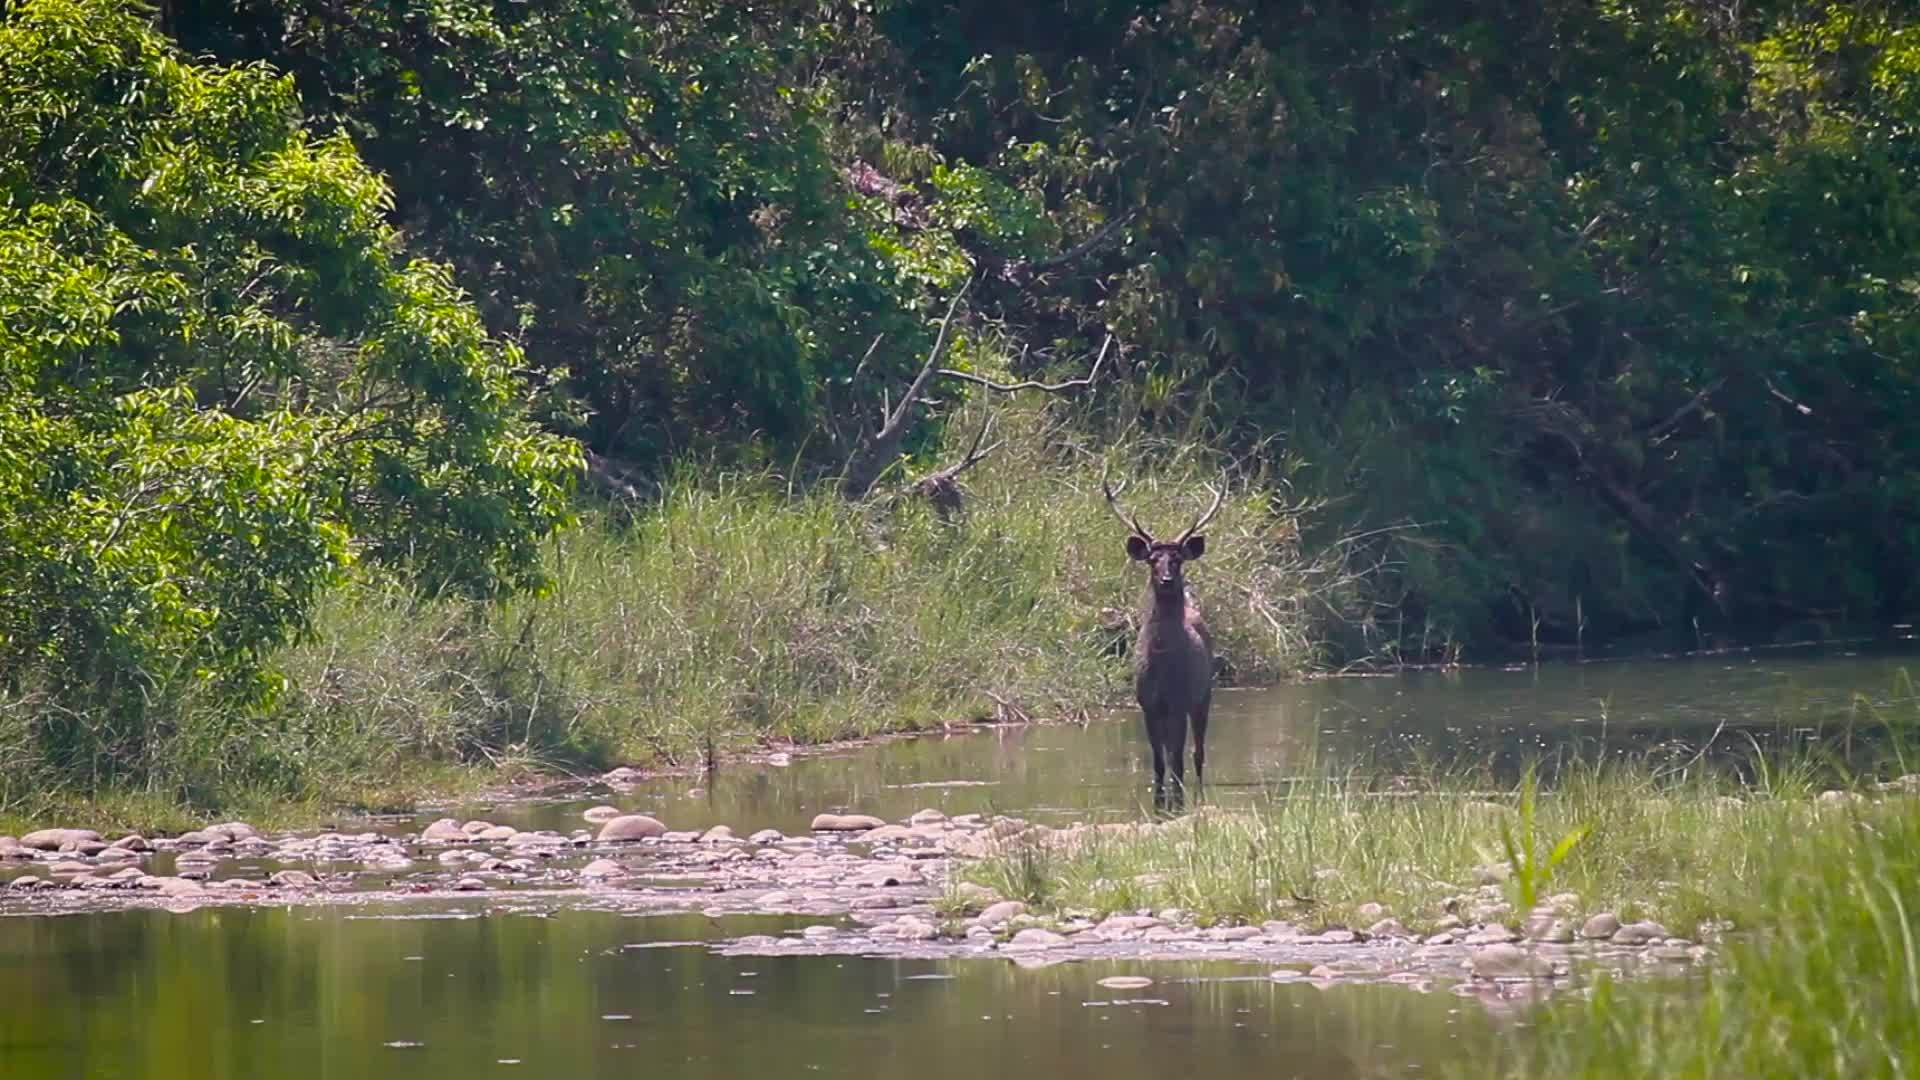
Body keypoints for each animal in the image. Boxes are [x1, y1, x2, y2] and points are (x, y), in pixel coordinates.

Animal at [1105, 470, 1221, 807]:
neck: (1162, 667)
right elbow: (1158, 762)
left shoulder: (1180, 700)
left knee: (1197, 753)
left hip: (1204, 694)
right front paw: (1160, 799)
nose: (1167, 579)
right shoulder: (1148, 704)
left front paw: (1176, 801)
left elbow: (1178, 761)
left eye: (1178, 559)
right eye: (1152, 560)